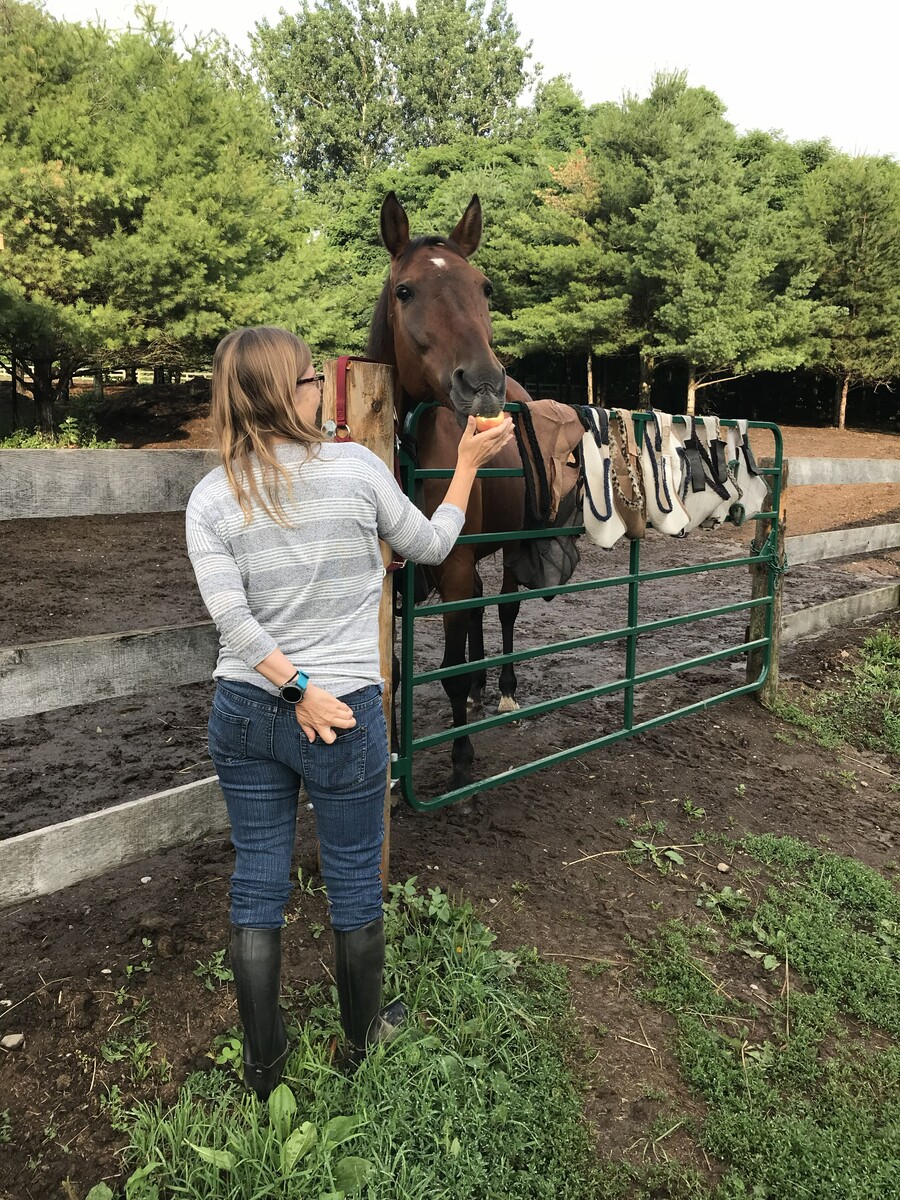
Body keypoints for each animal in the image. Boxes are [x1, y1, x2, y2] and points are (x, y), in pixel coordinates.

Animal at [366, 191, 533, 795]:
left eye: (484, 287)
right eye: (405, 290)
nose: (482, 383)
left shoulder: (455, 569)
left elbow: (450, 676)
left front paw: (461, 758)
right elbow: (391, 676)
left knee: (504, 608)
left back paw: (502, 687)